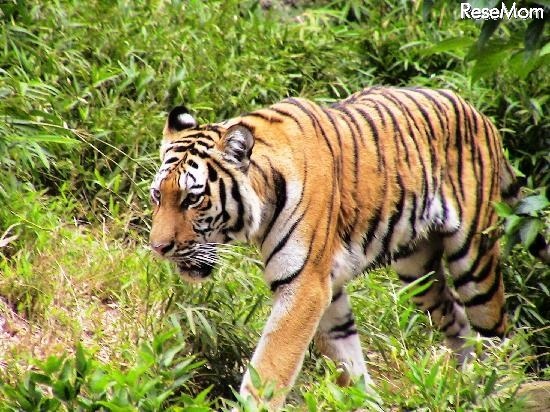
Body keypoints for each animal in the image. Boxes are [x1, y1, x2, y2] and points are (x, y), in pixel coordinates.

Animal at [149, 85, 548, 408]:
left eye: (191, 199)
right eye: (157, 196)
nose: (158, 248)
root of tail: (479, 113)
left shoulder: (305, 287)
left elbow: (271, 365)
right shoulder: (327, 288)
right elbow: (348, 362)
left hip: (474, 260)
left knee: (499, 335)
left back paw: (497, 392)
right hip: (417, 272)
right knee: (458, 321)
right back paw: (468, 387)